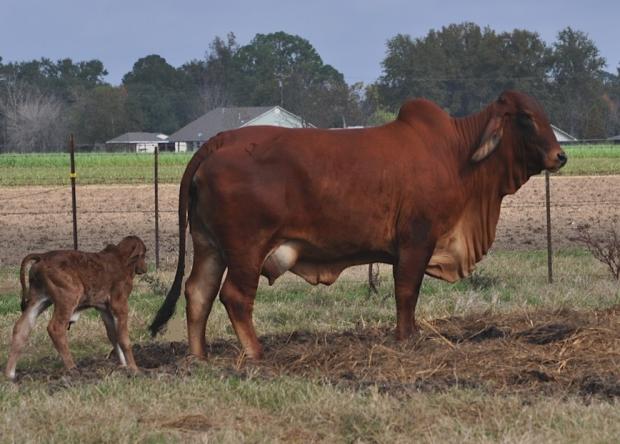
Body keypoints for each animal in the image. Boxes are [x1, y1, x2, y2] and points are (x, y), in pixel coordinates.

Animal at [4, 236, 147, 382]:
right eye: (143, 254)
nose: (145, 268)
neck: (121, 259)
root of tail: (43, 256)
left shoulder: (104, 309)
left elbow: (113, 336)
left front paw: (123, 367)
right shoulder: (120, 304)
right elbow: (124, 339)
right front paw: (134, 369)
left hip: (39, 300)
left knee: (21, 328)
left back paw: (10, 374)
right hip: (68, 297)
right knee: (55, 328)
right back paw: (72, 368)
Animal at [149, 90, 568, 360]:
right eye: (526, 117)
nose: (559, 155)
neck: (456, 154)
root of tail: (220, 140)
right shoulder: (416, 240)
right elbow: (406, 291)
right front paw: (406, 339)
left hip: (209, 246)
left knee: (198, 292)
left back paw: (199, 357)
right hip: (246, 250)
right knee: (234, 297)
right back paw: (255, 352)